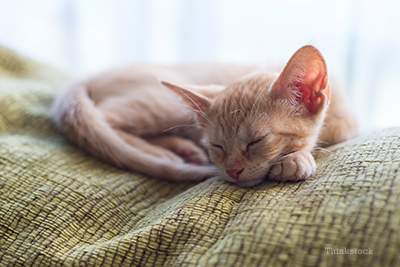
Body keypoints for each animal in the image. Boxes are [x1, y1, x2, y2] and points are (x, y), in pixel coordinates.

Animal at [52, 46, 356, 187]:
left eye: (256, 141)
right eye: (217, 146)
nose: (233, 171)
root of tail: (89, 76)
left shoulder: (348, 123)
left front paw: (295, 157)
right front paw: (297, 158)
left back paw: (181, 148)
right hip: (164, 104)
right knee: (102, 121)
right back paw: (165, 153)